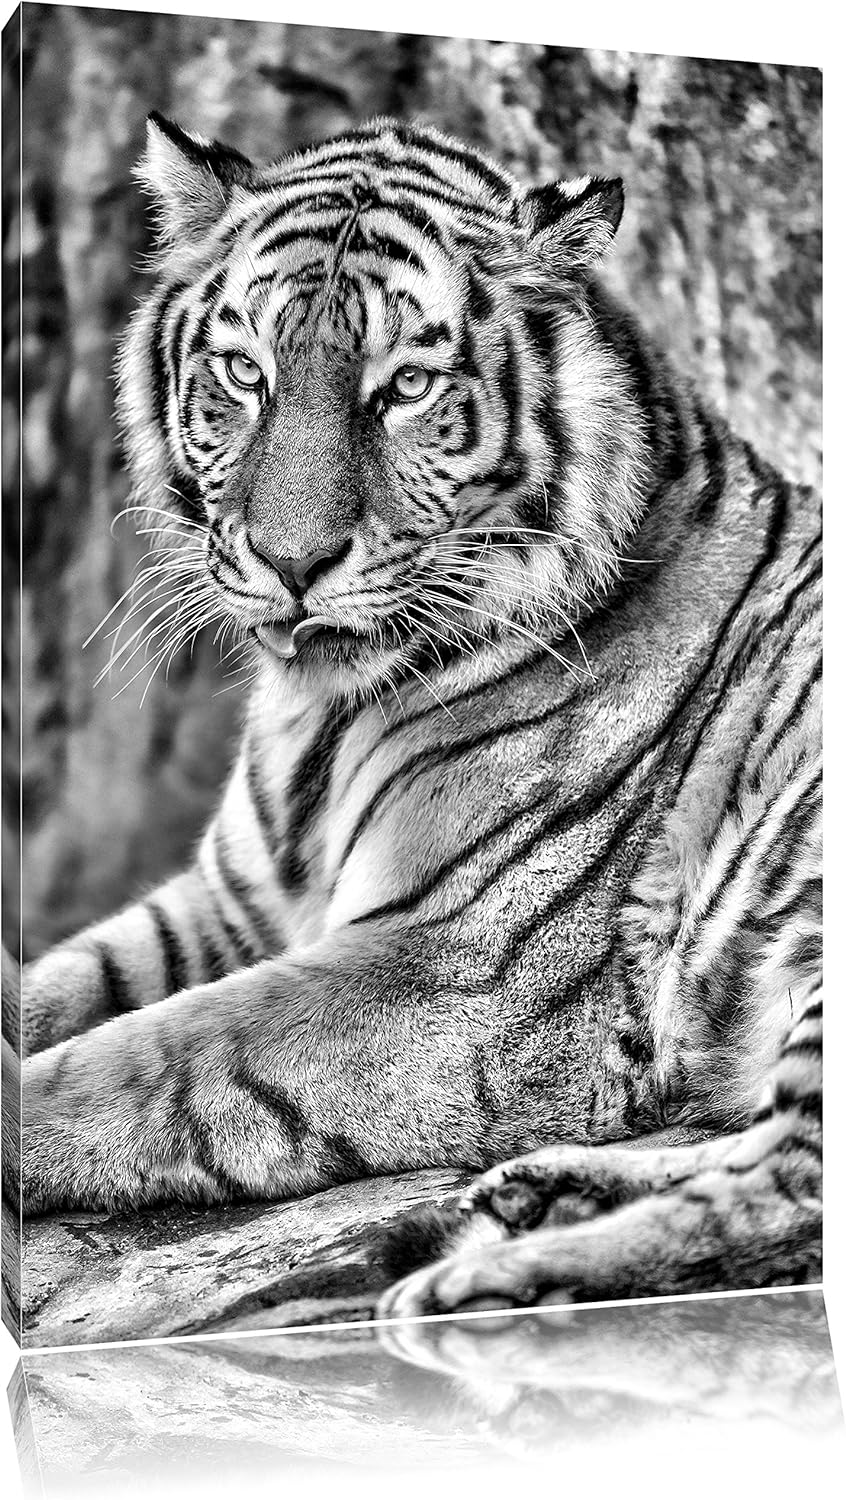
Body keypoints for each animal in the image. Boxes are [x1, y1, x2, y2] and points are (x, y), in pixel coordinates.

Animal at [12, 113, 821, 1323]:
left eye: (403, 388)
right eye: (244, 373)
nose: (292, 562)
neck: (319, 713)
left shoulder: (452, 964)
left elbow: (147, 1060)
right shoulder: (224, 905)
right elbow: (57, 984)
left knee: (790, 1196)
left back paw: (488, 1281)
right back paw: (538, 1199)